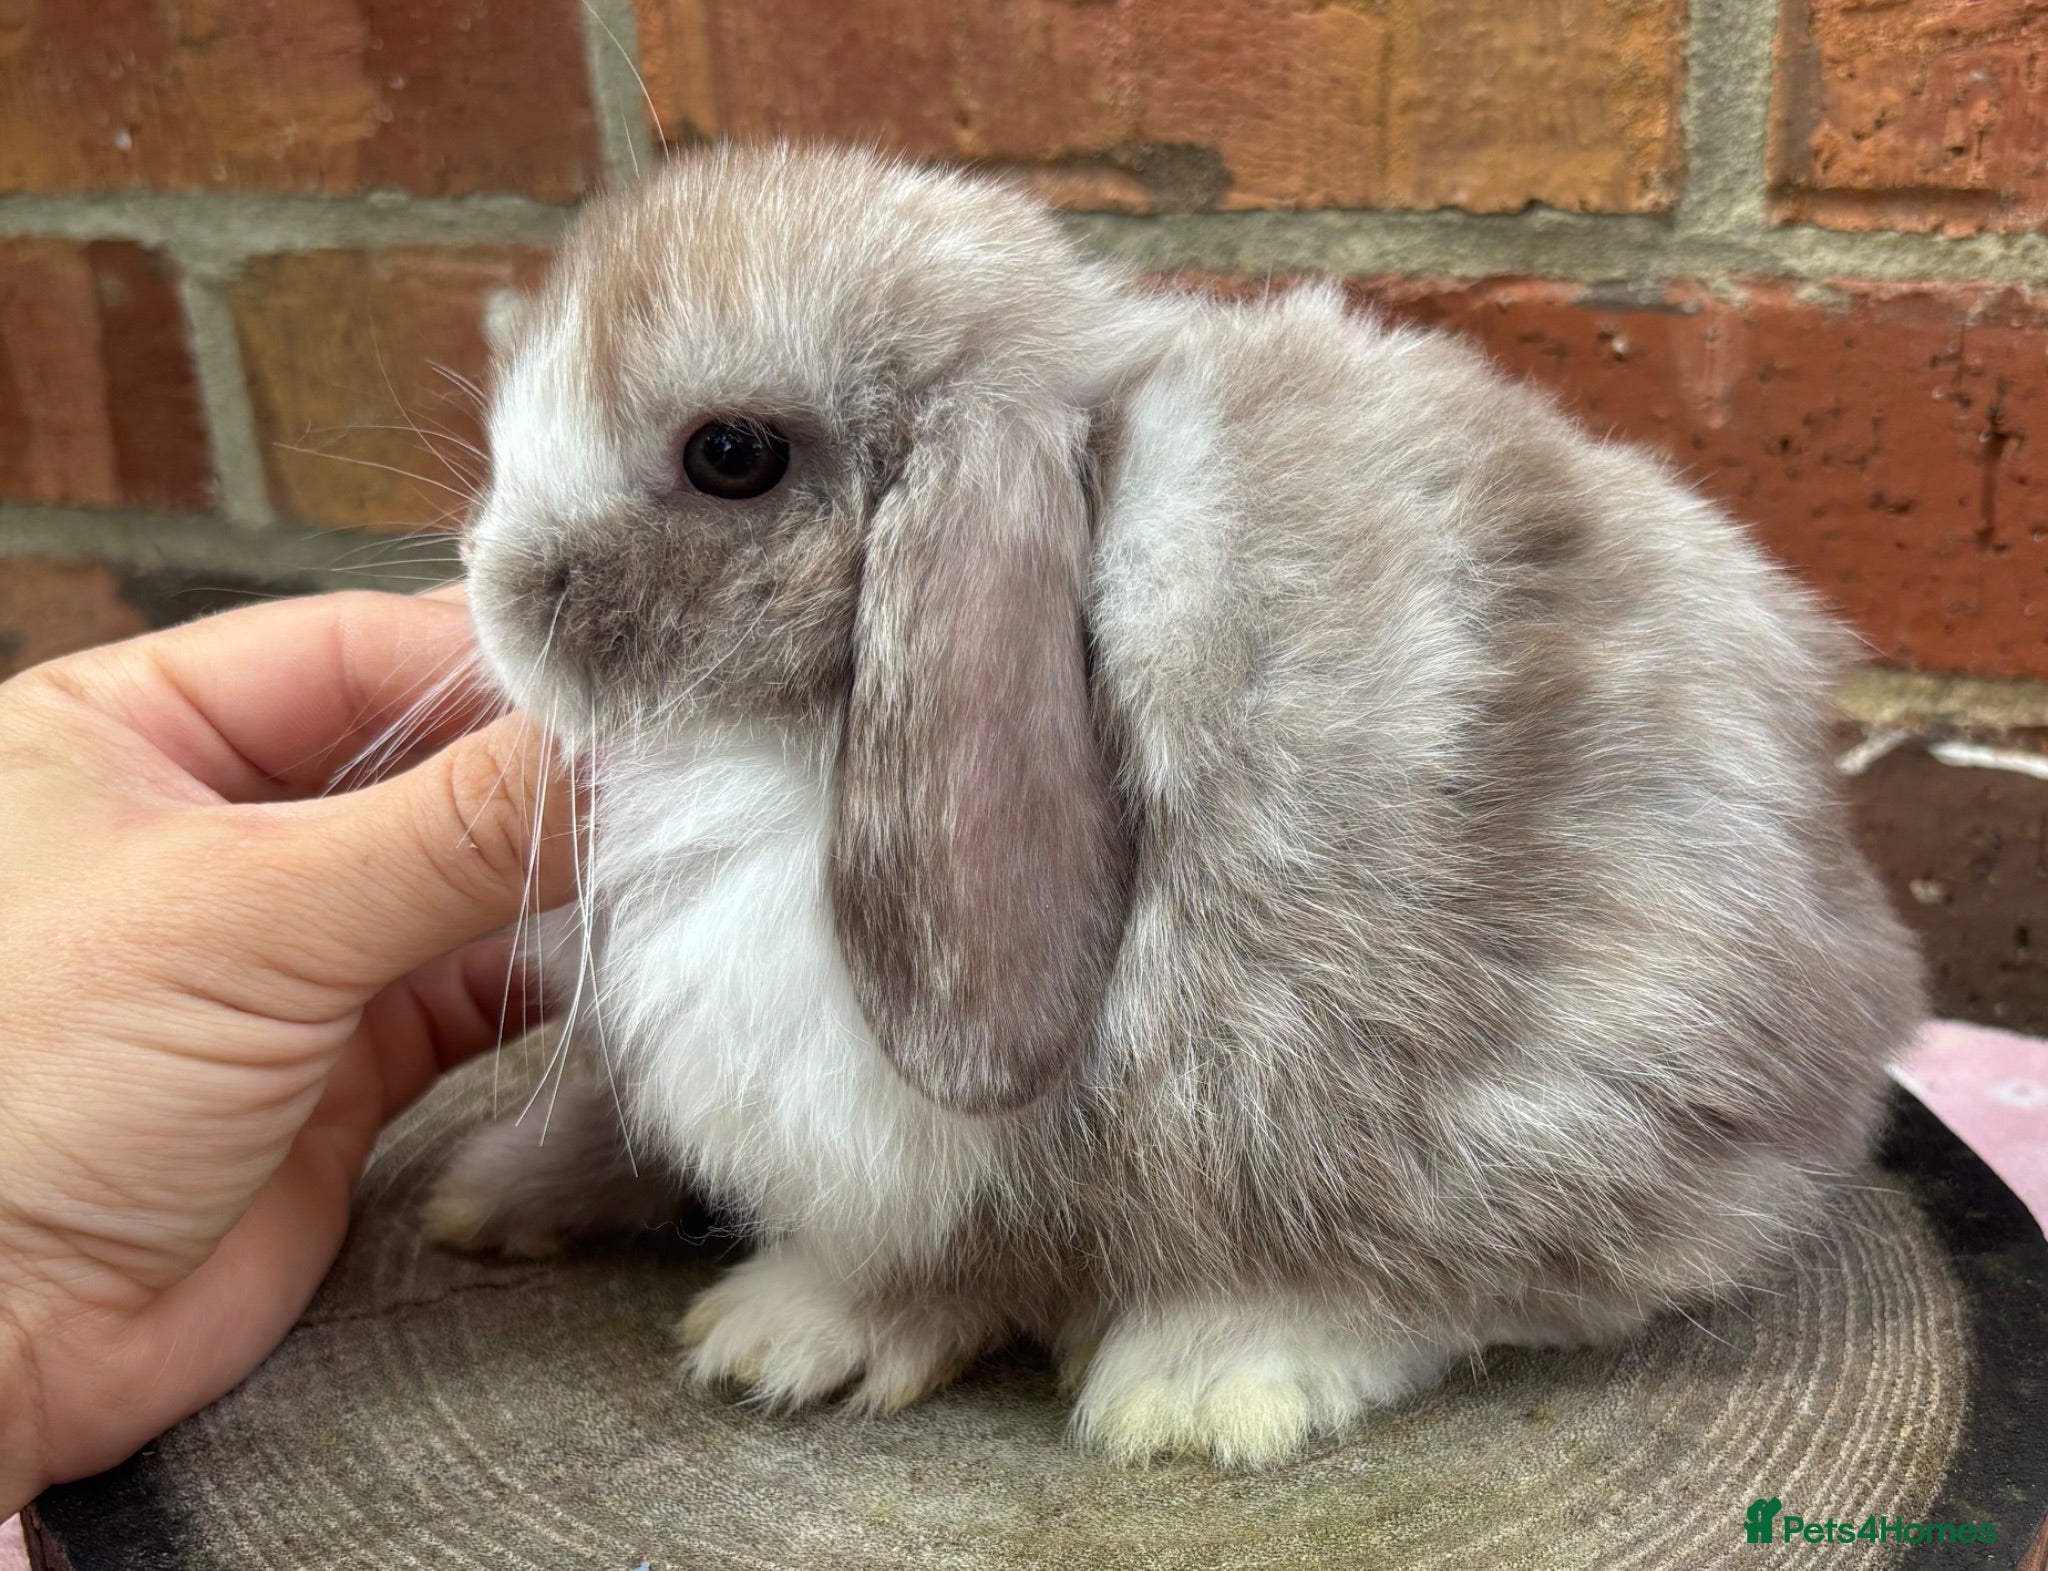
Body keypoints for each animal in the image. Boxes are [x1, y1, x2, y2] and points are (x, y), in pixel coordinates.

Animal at [426, 142, 1924, 1467]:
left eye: (731, 454)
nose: (492, 591)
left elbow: (947, 1249)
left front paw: (780, 1330)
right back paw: (490, 1189)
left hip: (1567, 1084)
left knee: (1470, 1274)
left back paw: (1206, 1381)